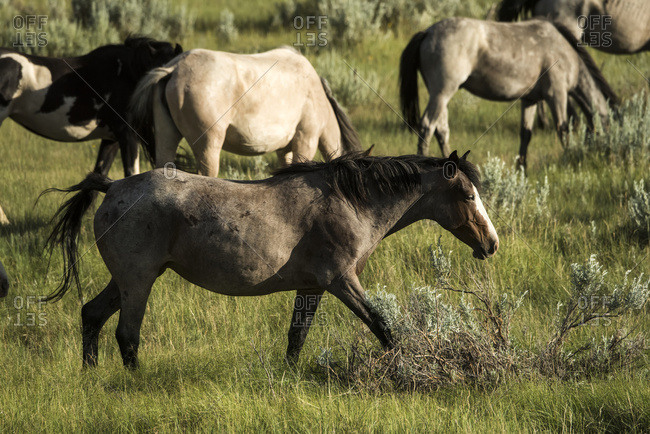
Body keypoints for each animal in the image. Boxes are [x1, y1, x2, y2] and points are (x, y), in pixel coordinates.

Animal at [45, 150, 498, 368]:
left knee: (91, 315)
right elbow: (383, 327)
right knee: (127, 335)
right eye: (467, 195)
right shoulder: (342, 281)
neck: (349, 202)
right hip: (138, 282)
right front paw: (405, 366)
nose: (492, 243)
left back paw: (90, 375)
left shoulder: (312, 287)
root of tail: (113, 186)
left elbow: (296, 339)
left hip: (125, 281)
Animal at [399, 18, 619, 168]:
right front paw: (568, 159)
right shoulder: (556, 94)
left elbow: (526, 134)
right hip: (443, 92)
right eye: (609, 125)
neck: (565, 53)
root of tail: (427, 32)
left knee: (442, 130)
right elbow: (563, 129)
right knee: (428, 126)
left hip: (439, 95)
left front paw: (522, 169)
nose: (610, 155)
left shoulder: (530, 100)